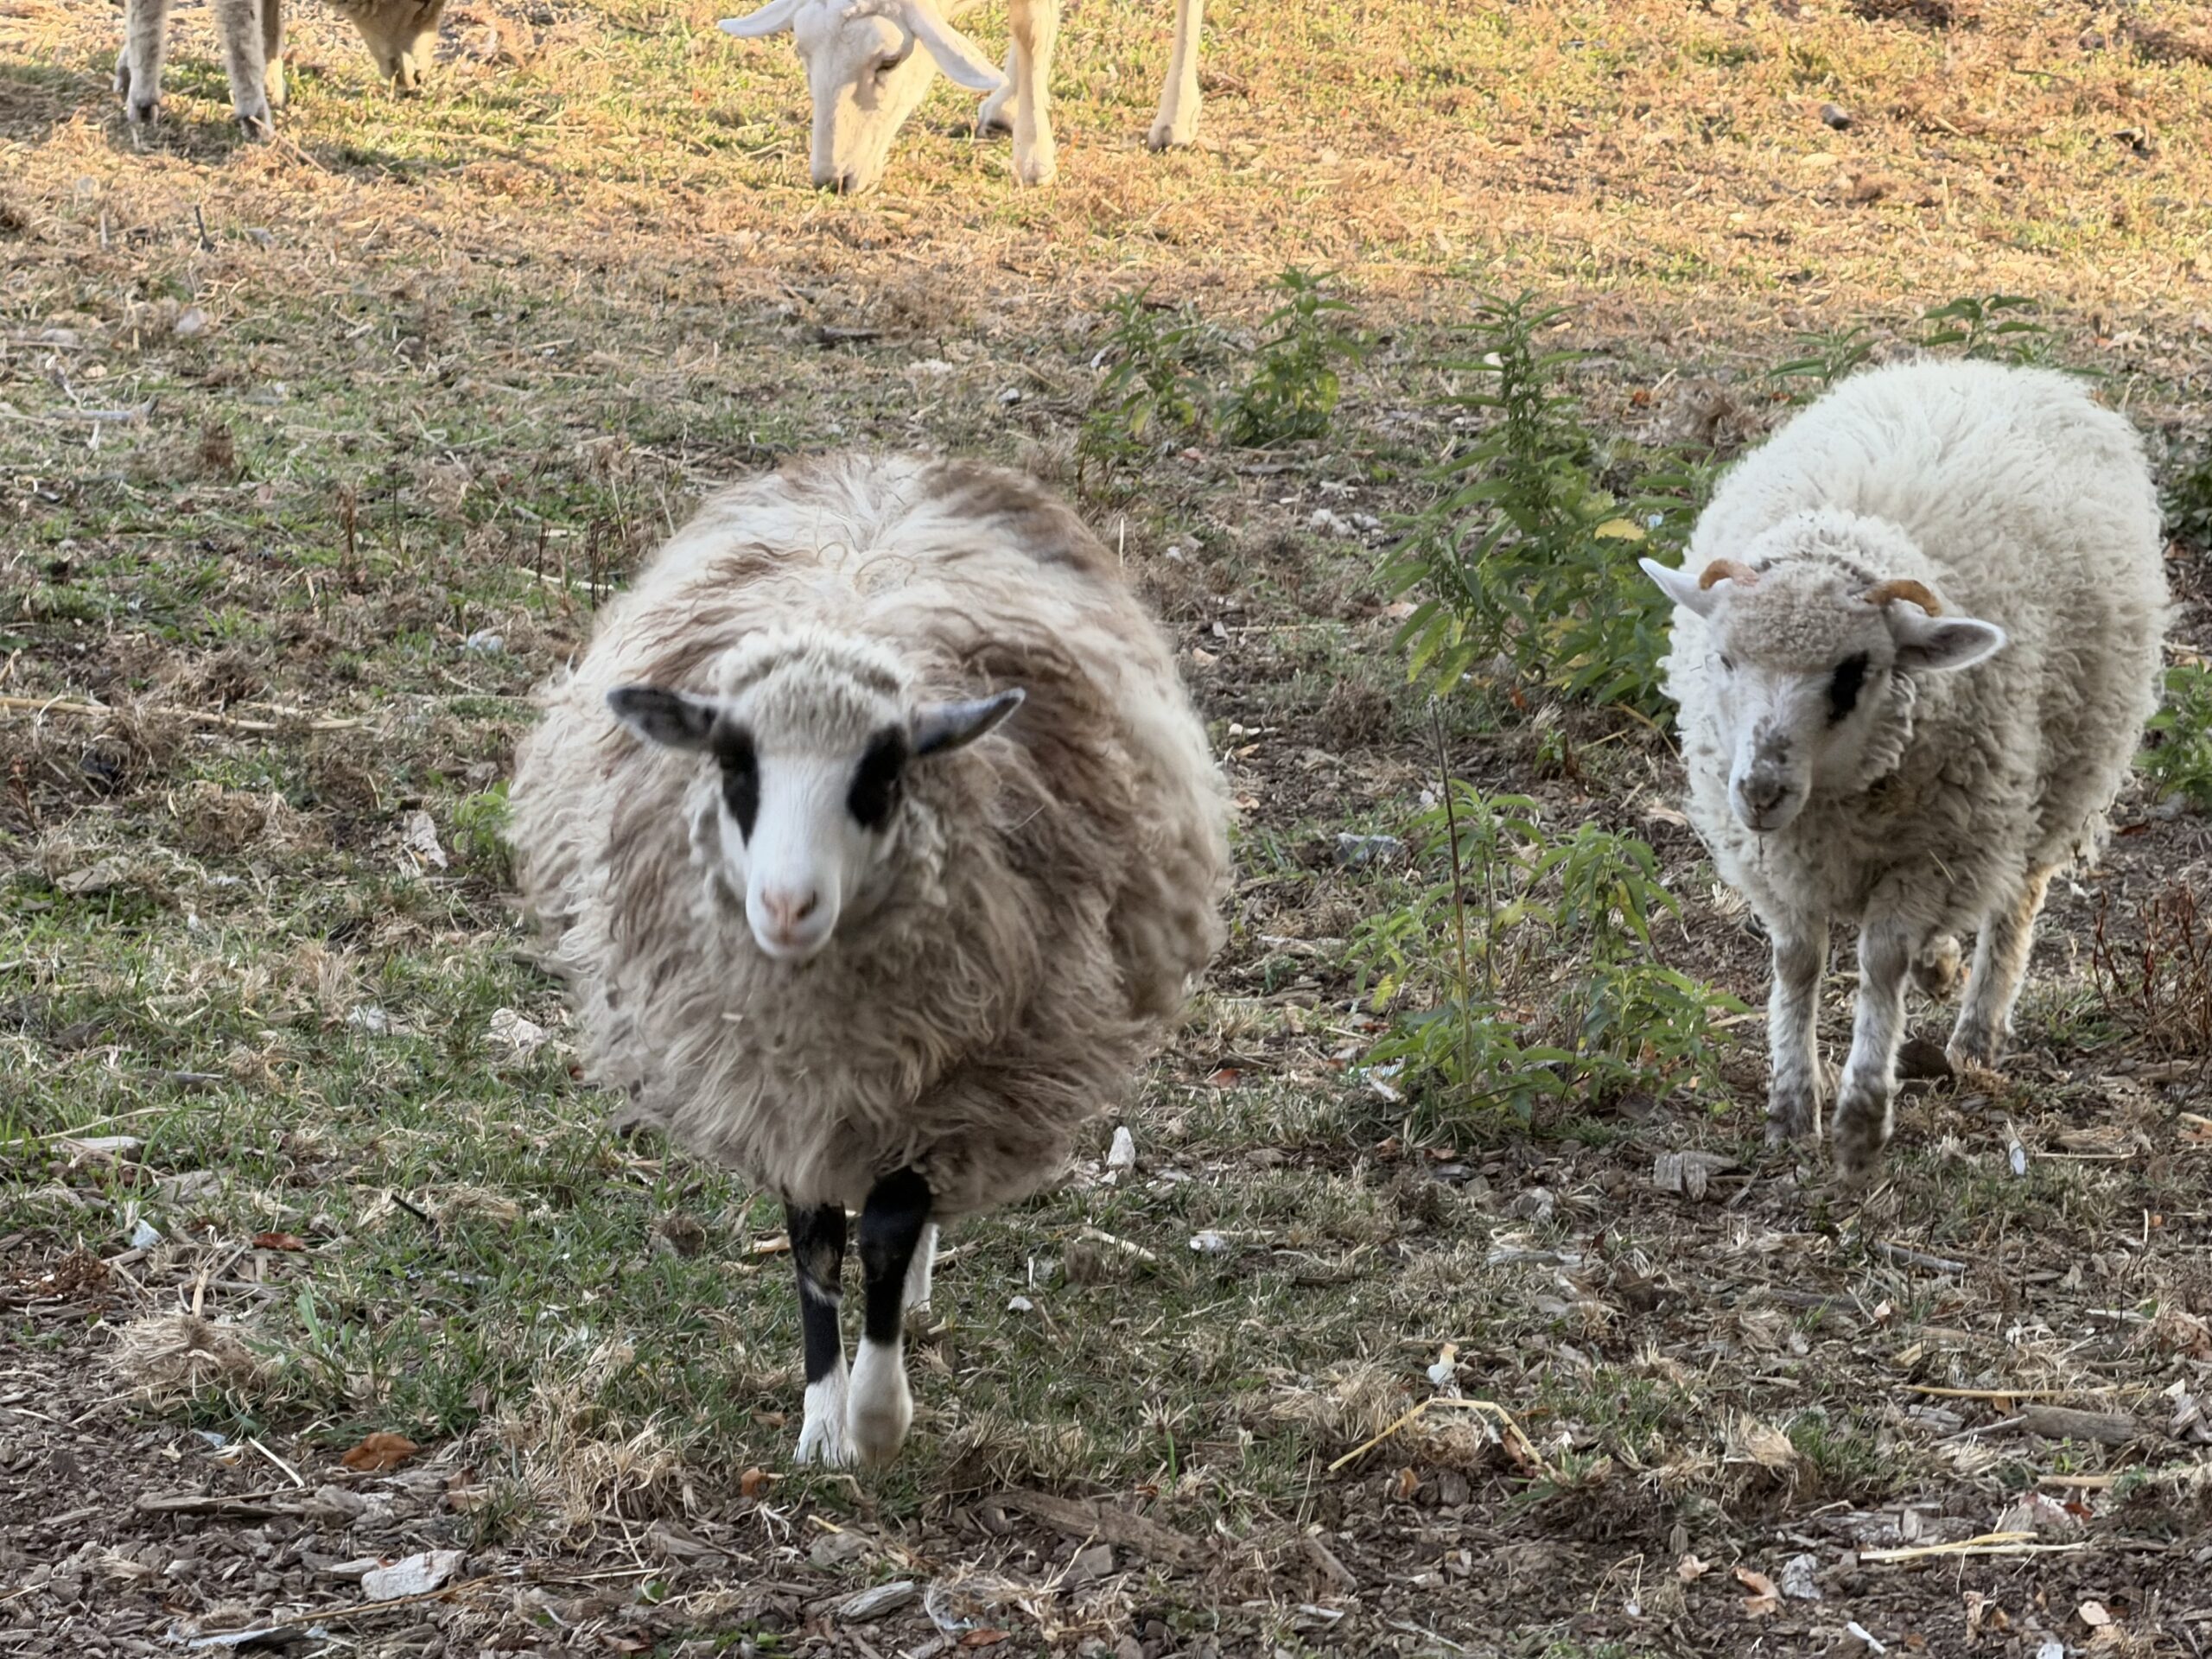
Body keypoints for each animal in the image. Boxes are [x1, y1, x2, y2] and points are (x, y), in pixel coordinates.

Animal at [507, 453, 1231, 1466]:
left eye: (882, 773)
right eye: (735, 765)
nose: (787, 905)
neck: (823, 1022)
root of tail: (894, 467)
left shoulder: (954, 1080)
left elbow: (887, 1231)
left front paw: (879, 1417)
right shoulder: (774, 1089)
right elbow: (813, 1240)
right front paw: (822, 1420)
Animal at [718, 0, 1204, 192]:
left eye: (889, 61)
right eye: (803, 52)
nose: (831, 181)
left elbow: (1030, 25)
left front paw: (1035, 160)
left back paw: (1175, 120)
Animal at [1640, 359, 2169, 1181]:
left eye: (1856, 671)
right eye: (1723, 658)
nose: (1760, 791)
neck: (1829, 805)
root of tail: (1998, 368)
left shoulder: (1933, 851)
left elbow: (1882, 961)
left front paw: (1861, 1116)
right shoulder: (1777, 865)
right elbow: (1798, 963)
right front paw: (1792, 1105)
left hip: (2050, 784)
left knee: (2015, 903)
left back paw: (1975, 1029)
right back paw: (1941, 968)